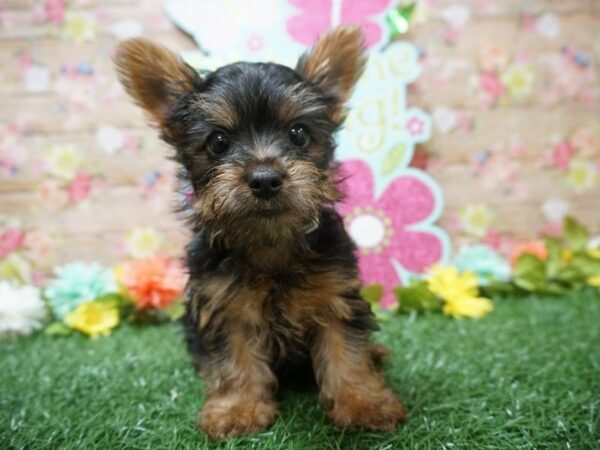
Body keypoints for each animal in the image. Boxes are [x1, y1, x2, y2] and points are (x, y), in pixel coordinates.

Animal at [115, 25, 406, 440]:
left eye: (298, 134)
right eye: (218, 142)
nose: (265, 178)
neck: (269, 238)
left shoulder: (335, 295)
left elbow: (347, 352)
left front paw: (363, 403)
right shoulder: (222, 305)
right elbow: (234, 360)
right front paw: (238, 409)